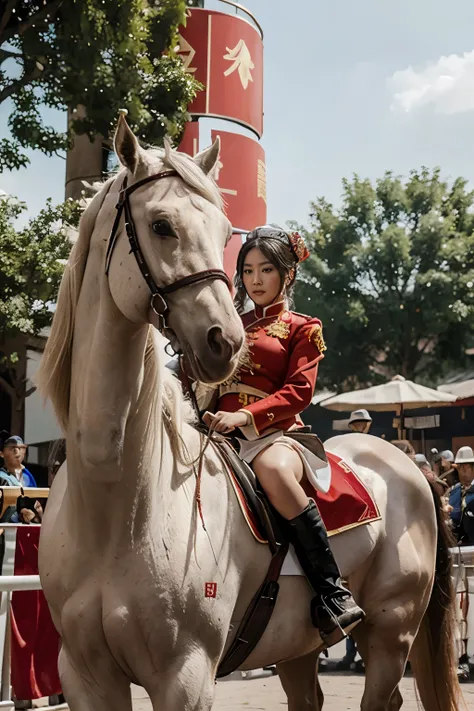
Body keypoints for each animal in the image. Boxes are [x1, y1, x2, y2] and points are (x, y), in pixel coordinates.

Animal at [39, 117, 462, 711]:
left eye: (223, 232)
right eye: (162, 225)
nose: (226, 342)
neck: (118, 504)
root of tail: (410, 467)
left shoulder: (186, 676)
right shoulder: (83, 674)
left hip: (391, 631)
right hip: (298, 646)